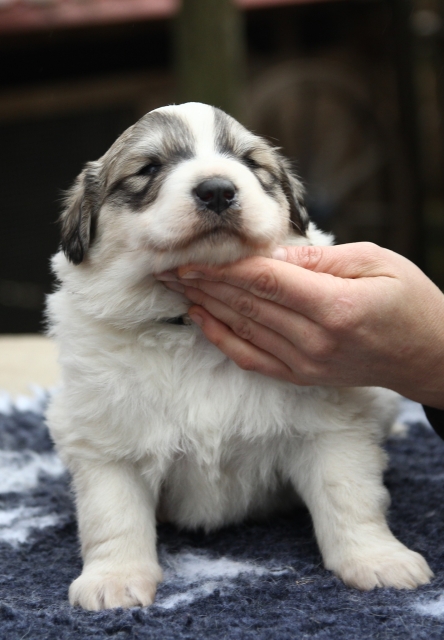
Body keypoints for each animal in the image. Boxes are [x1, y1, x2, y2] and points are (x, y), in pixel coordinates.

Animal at [46, 102, 432, 611]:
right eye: (148, 168)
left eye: (250, 163)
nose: (217, 189)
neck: (192, 330)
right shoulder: (104, 442)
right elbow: (113, 514)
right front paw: (115, 580)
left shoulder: (331, 426)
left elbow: (349, 494)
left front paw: (379, 560)